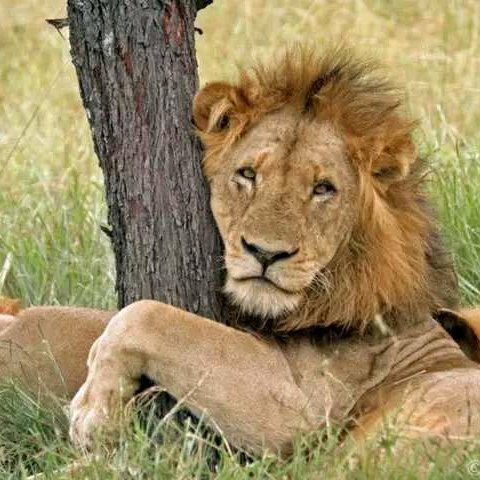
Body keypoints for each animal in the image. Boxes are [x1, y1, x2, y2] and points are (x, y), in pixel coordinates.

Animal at [2, 47, 480, 456]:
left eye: (323, 189)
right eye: (248, 174)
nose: (266, 253)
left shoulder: (300, 410)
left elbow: (145, 314)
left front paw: (92, 414)